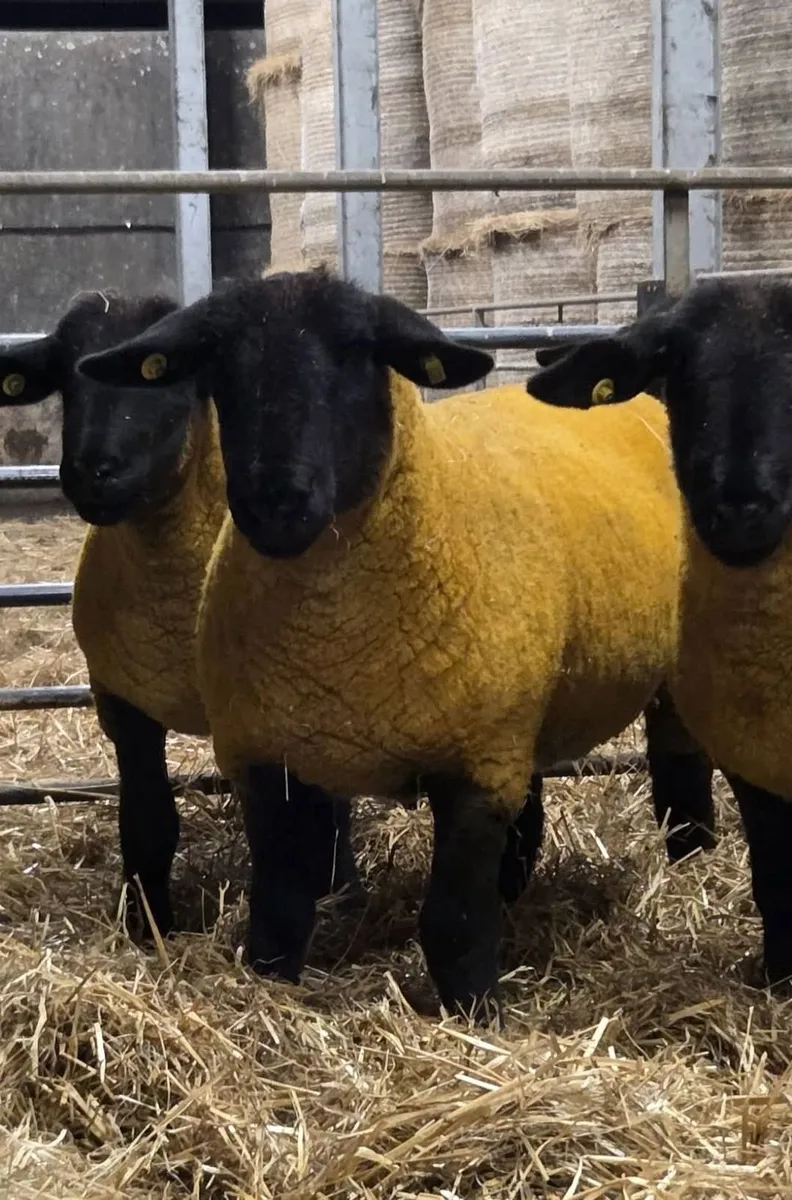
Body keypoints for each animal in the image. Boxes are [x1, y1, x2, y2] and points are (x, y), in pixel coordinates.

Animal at [0, 291, 361, 939]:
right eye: (65, 376)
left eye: (157, 375)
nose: (92, 470)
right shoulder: (123, 700)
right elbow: (148, 819)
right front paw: (148, 926)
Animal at [77, 268, 717, 1021]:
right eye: (219, 367)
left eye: (358, 354)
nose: (273, 502)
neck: (332, 639)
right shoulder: (267, 760)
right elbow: (279, 910)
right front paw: (271, 987)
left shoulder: (475, 772)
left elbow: (454, 922)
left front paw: (475, 1014)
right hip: (517, 706)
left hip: (654, 683)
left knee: (681, 778)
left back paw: (692, 866)